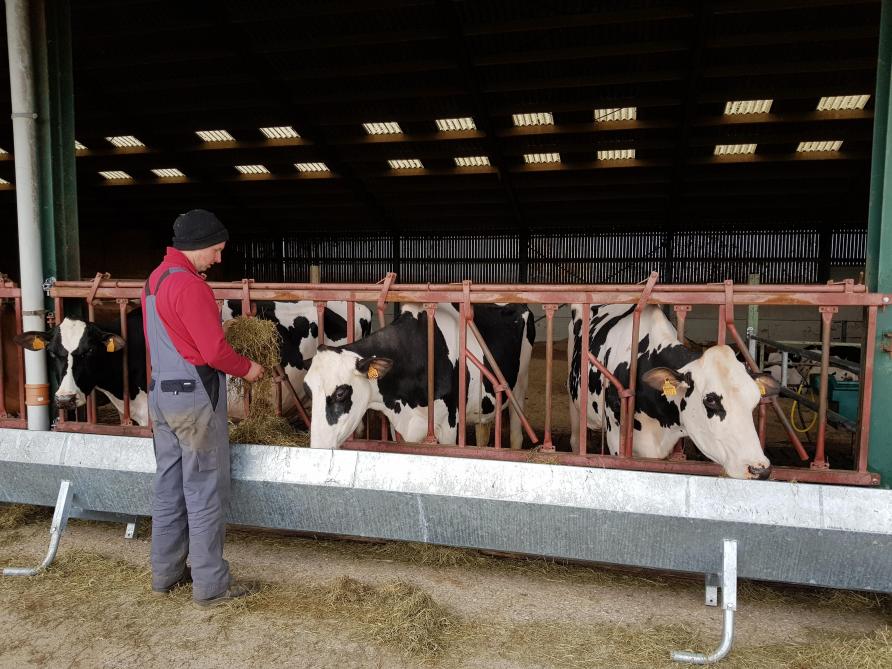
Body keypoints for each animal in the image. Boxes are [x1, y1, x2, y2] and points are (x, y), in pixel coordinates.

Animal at [304, 302, 532, 448]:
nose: (317, 447)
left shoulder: (449, 425)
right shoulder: (401, 426)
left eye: (341, 393)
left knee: (516, 436)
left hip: (519, 387)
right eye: (308, 391)